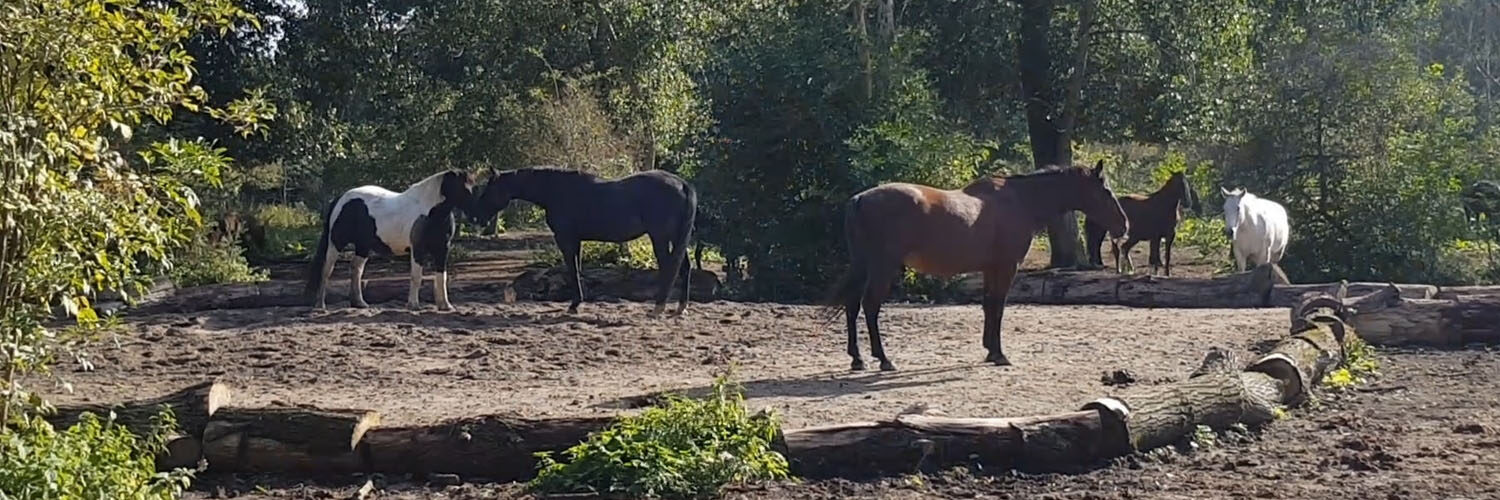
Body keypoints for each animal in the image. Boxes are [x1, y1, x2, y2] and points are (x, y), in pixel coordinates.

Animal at [471, 167, 699, 315]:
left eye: (489, 190)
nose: (477, 217)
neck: (557, 191)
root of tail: (682, 184)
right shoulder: (576, 240)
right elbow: (578, 270)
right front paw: (579, 302)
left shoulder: (565, 239)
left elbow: (572, 270)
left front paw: (573, 305)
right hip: (676, 238)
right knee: (684, 267)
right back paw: (681, 307)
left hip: (660, 237)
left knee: (669, 268)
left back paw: (658, 307)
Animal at [822, 160, 1128, 369]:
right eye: (1106, 191)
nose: (1123, 225)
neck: (1020, 201)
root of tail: (859, 199)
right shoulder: (1007, 267)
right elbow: (998, 306)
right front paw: (999, 354)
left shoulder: (991, 268)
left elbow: (988, 305)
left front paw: (990, 349)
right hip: (882, 268)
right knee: (870, 306)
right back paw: (883, 359)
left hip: (864, 266)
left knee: (852, 305)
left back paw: (857, 359)